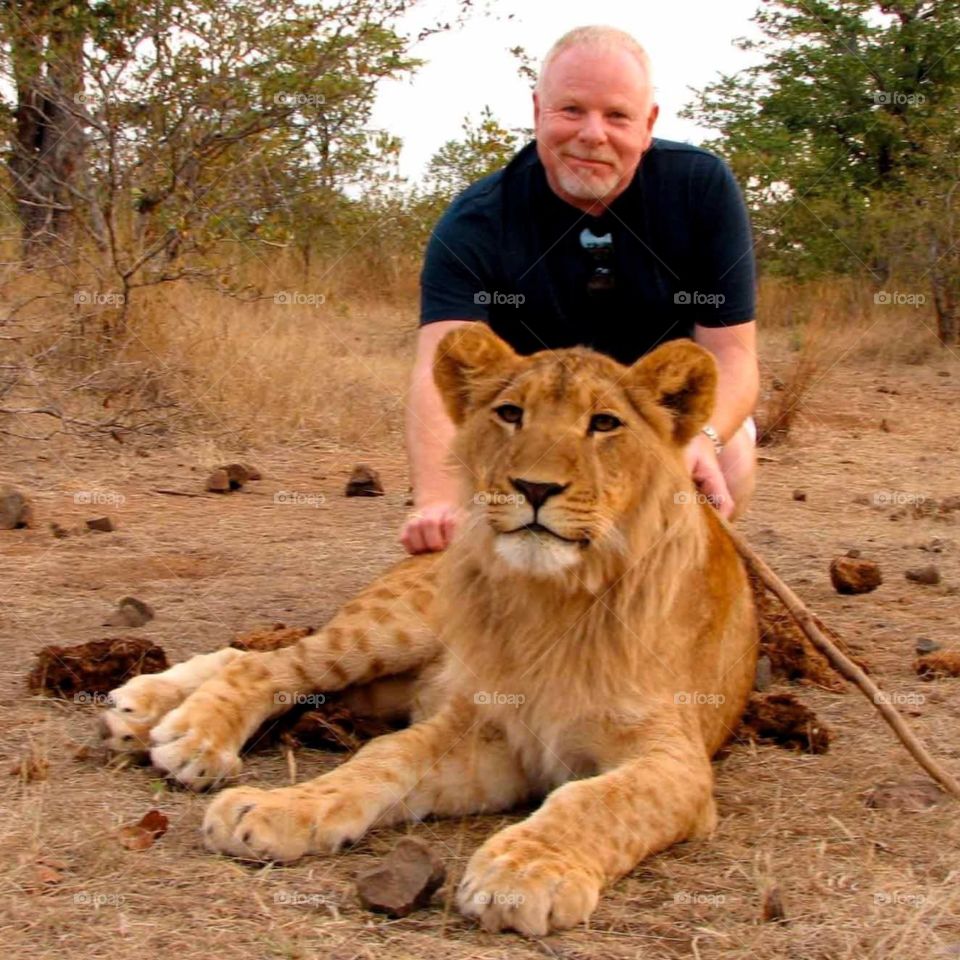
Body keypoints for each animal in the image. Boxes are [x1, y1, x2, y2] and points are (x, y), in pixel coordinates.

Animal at [100, 325, 758, 936]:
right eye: (511, 413)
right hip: (396, 627)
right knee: (269, 661)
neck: (552, 602)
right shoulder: (489, 726)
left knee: (262, 660)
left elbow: (598, 799)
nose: (534, 487)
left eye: (604, 423)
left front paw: (524, 870)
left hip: (383, 683)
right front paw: (276, 806)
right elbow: (384, 758)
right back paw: (185, 731)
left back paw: (142, 711)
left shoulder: (677, 763)